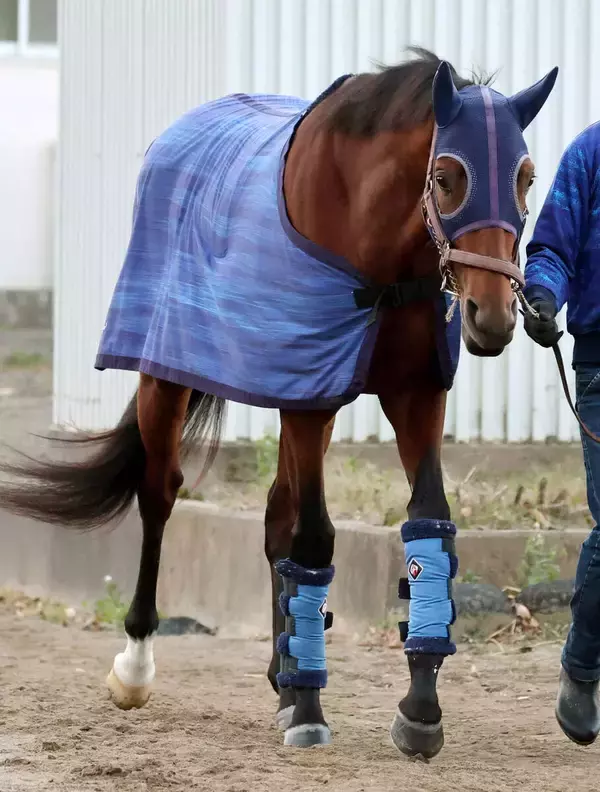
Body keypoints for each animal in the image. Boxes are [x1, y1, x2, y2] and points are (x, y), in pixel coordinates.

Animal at [0, 48, 557, 758]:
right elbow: (314, 538)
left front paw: (419, 709)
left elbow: (427, 523)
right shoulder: (308, 400)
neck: (369, 242)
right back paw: (138, 664)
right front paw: (312, 709)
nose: (493, 317)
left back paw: (284, 675)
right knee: (160, 494)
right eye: (446, 175)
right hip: (167, 380)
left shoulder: (408, 396)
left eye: (527, 176)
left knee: (272, 520)